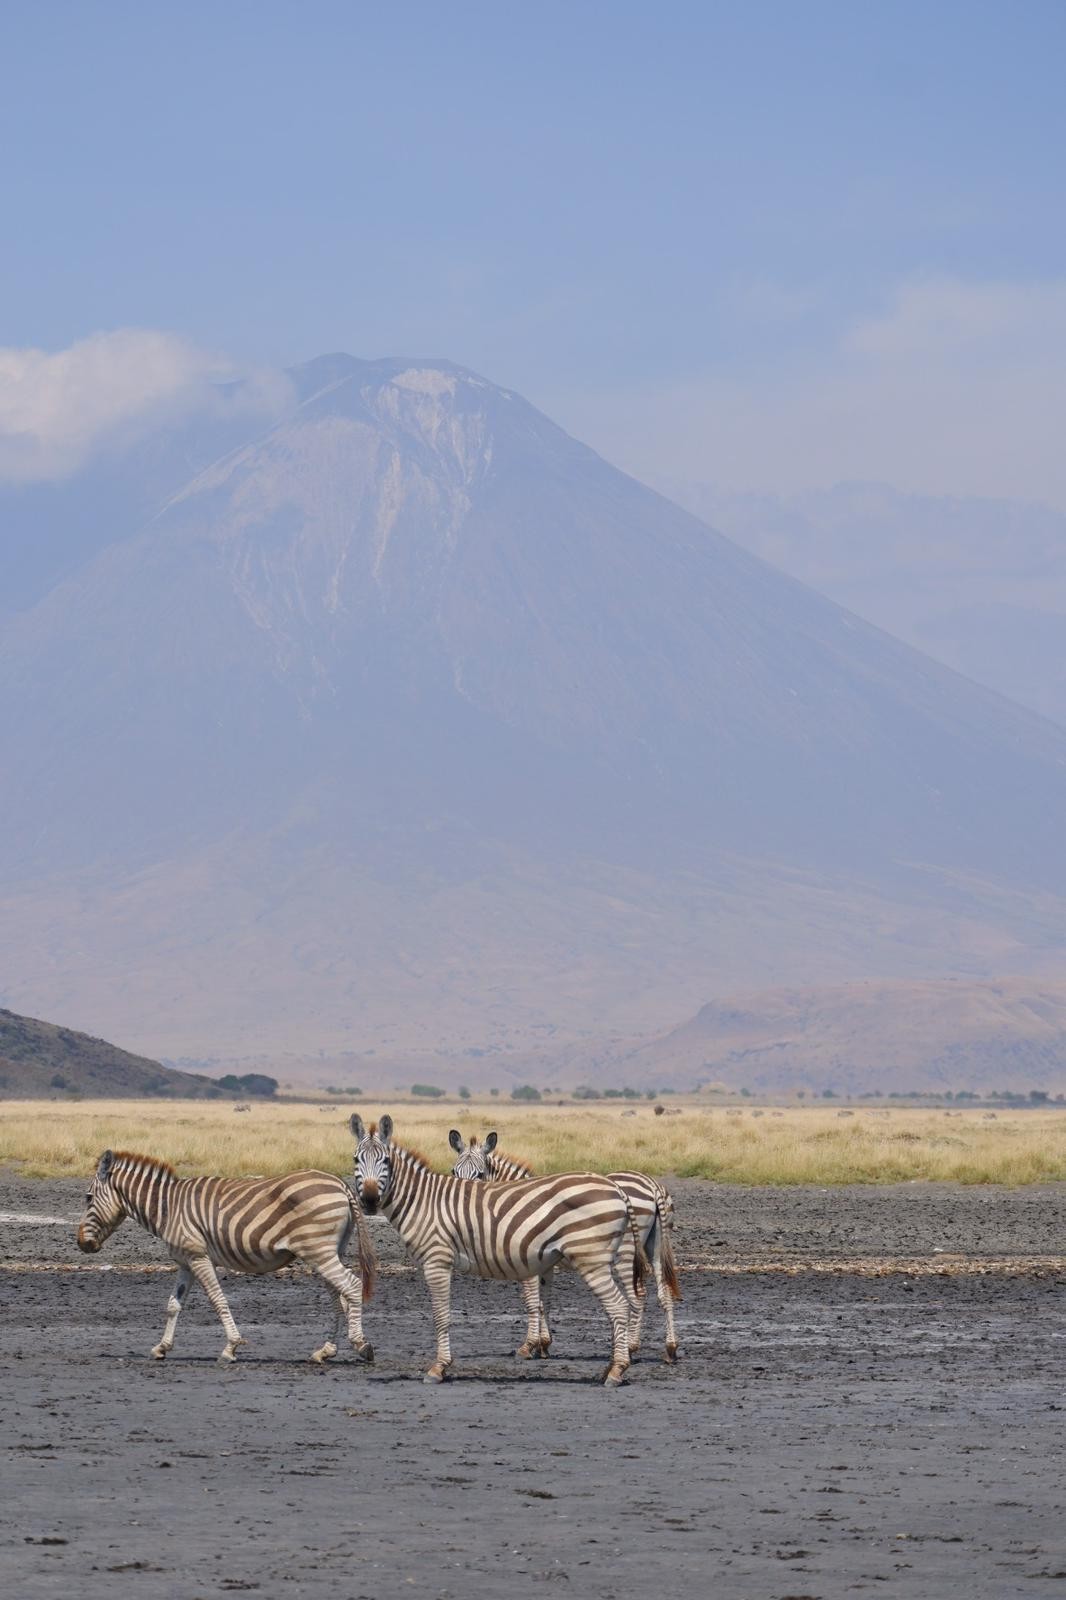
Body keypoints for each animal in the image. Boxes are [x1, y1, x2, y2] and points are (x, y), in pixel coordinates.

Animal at [77, 1149, 377, 1365]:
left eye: (88, 1198)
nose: (81, 1243)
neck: (167, 1207)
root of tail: (341, 1184)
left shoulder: (199, 1257)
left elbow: (217, 1299)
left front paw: (231, 1348)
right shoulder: (185, 1261)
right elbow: (173, 1305)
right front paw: (162, 1347)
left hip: (319, 1251)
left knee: (351, 1286)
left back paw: (362, 1344)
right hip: (326, 1252)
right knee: (338, 1297)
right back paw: (325, 1351)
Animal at [350, 1114, 649, 1387]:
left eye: (385, 1161)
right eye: (355, 1160)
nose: (370, 1200)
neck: (422, 1201)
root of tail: (616, 1187)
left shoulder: (437, 1260)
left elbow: (441, 1315)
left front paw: (439, 1368)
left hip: (594, 1260)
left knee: (620, 1306)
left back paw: (617, 1370)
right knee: (626, 1303)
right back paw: (612, 1366)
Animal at [448, 1130, 681, 1362]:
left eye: (479, 1174)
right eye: (453, 1171)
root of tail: (653, 1185)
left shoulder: (525, 1258)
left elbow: (532, 1301)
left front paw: (528, 1346)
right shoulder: (543, 1263)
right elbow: (544, 1301)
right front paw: (544, 1344)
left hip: (626, 1251)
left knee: (637, 1295)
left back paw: (631, 1347)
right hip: (656, 1247)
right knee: (665, 1293)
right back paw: (669, 1348)